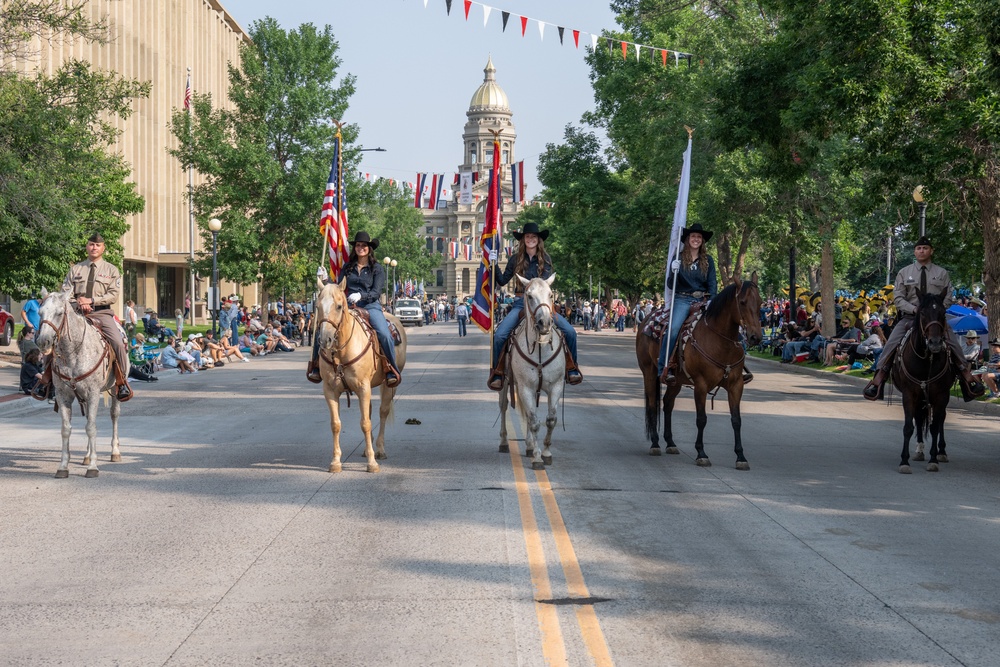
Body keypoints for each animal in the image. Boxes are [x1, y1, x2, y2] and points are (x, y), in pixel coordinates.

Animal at [35, 290, 126, 478]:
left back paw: (115, 452)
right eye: (40, 313)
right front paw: (63, 466)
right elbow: (66, 429)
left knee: (114, 415)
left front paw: (93, 467)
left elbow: (91, 428)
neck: (73, 353)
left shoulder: (93, 393)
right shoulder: (63, 395)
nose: (43, 342)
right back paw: (87, 455)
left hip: (115, 389)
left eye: (59, 313)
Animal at [312, 280, 406, 472]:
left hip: (389, 385)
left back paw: (379, 450)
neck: (342, 351)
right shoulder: (330, 390)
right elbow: (336, 424)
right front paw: (335, 462)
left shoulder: (363, 387)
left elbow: (366, 423)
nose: (324, 340)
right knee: (369, 411)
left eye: (339, 306)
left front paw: (372, 463)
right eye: (317, 306)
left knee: (382, 412)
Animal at [498, 274, 568, 472]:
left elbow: (550, 419)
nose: (544, 323)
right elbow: (535, 422)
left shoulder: (556, 386)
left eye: (551, 294)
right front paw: (537, 457)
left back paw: (529, 446)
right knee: (504, 407)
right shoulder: (525, 388)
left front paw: (546, 453)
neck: (540, 347)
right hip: (505, 383)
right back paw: (504, 442)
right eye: (529, 296)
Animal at [636, 272, 760, 470]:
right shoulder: (701, 385)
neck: (720, 342)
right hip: (649, 372)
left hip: (676, 380)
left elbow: (736, 420)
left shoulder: (736, 385)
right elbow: (701, 419)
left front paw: (741, 456)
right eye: (742, 302)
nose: (756, 337)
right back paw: (655, 443)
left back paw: (670, 443)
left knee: (668, 403)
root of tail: (646, 321)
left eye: (761, 302)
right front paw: (701, 453)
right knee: (652, 404)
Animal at [892, 292, 952, 474]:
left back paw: (941, 452)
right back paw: (919, 451)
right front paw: (904, 461)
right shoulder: (909, 394)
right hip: (920, 398)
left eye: (943, 313)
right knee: (918, 418)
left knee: (940, 420)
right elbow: (908, 427)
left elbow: (934, 427)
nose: (935, 343)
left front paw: (933, 460)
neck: (926, 360)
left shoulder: (941, 395)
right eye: (923, 313)